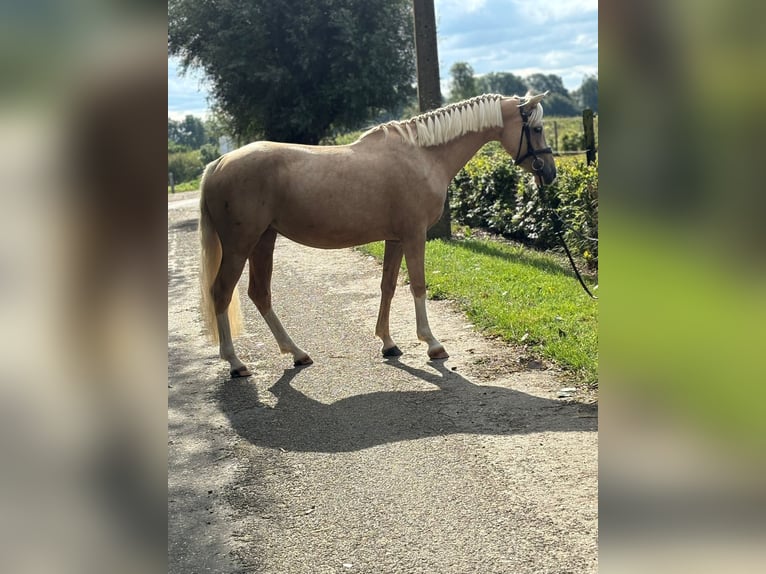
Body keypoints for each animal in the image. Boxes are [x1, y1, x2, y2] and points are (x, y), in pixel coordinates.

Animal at [198, 91, 560, 378]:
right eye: (537, 128)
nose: (550, 174)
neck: (422, 155)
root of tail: (217, 164)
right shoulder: (414, 236)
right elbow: (417, 286)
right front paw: (432, 344)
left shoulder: (395, 239)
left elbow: (388, 286)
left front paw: (388, 343)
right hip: (240, 246)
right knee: (222, 293)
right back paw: (235, 363)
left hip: (264, 240)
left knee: (260, 294)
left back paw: (297, 352)